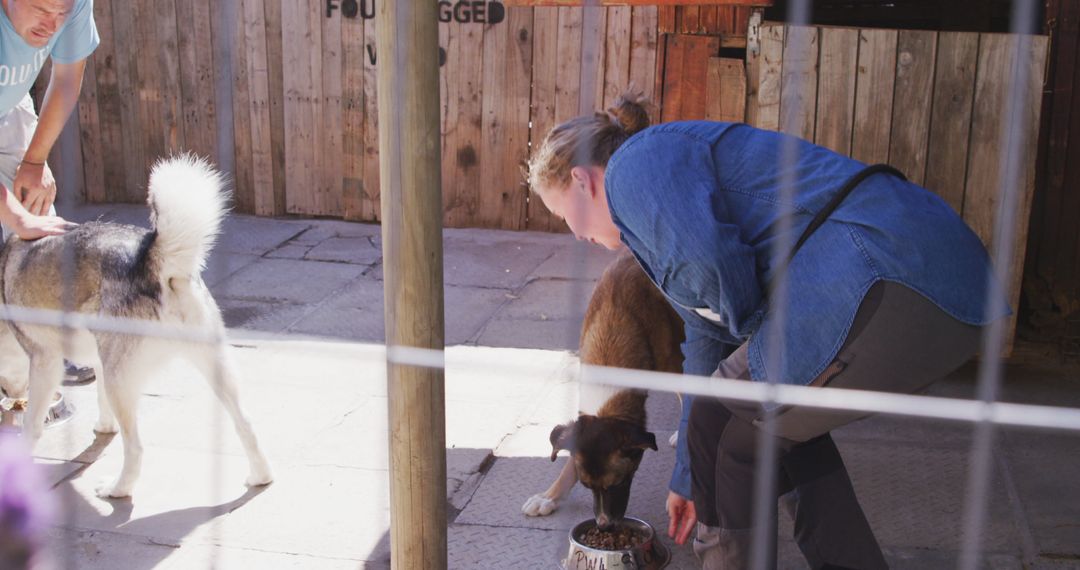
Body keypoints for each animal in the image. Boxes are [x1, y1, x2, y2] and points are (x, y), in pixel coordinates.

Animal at [0, 155, 270, 498]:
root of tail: (152, 259)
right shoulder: (98, 360)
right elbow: (98, 395)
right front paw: (104, 426)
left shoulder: (45, 363)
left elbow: (31, 424)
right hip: (215, 367)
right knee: (246, 424)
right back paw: (260, 476)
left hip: (122, 383)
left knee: (136, 448)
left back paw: (117, 488)